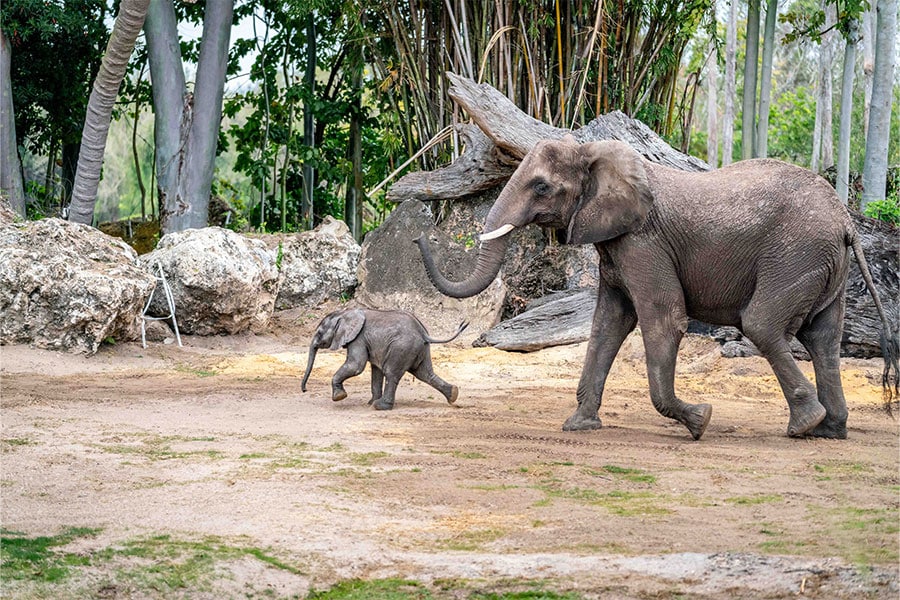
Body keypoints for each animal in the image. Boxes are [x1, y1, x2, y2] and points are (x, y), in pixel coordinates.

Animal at [301, 307, 468, 410]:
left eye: (319, 333)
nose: (304, 390)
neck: (344, 313)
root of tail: (424, 334)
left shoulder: (358, 338)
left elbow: (356, 365)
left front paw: (339, 397)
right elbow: (375, 371)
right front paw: (369, 402)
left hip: (402, 347)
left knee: (392, 373)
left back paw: (380, 407)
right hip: (419, 349)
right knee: (425, 374)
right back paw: (453, 395)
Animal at [416, 136, 898, 440]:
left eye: (541, 187)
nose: (422, 235)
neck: (593, 152)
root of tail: (847, 222)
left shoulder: (643, 241)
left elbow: (663, 320)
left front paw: (700, 421)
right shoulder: (617, 245)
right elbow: (607, 325)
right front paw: (579, 426)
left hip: (796, 254)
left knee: (763, 324)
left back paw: (804, 426)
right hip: (822, 265)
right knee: (823, 338)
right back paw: (829, 430)